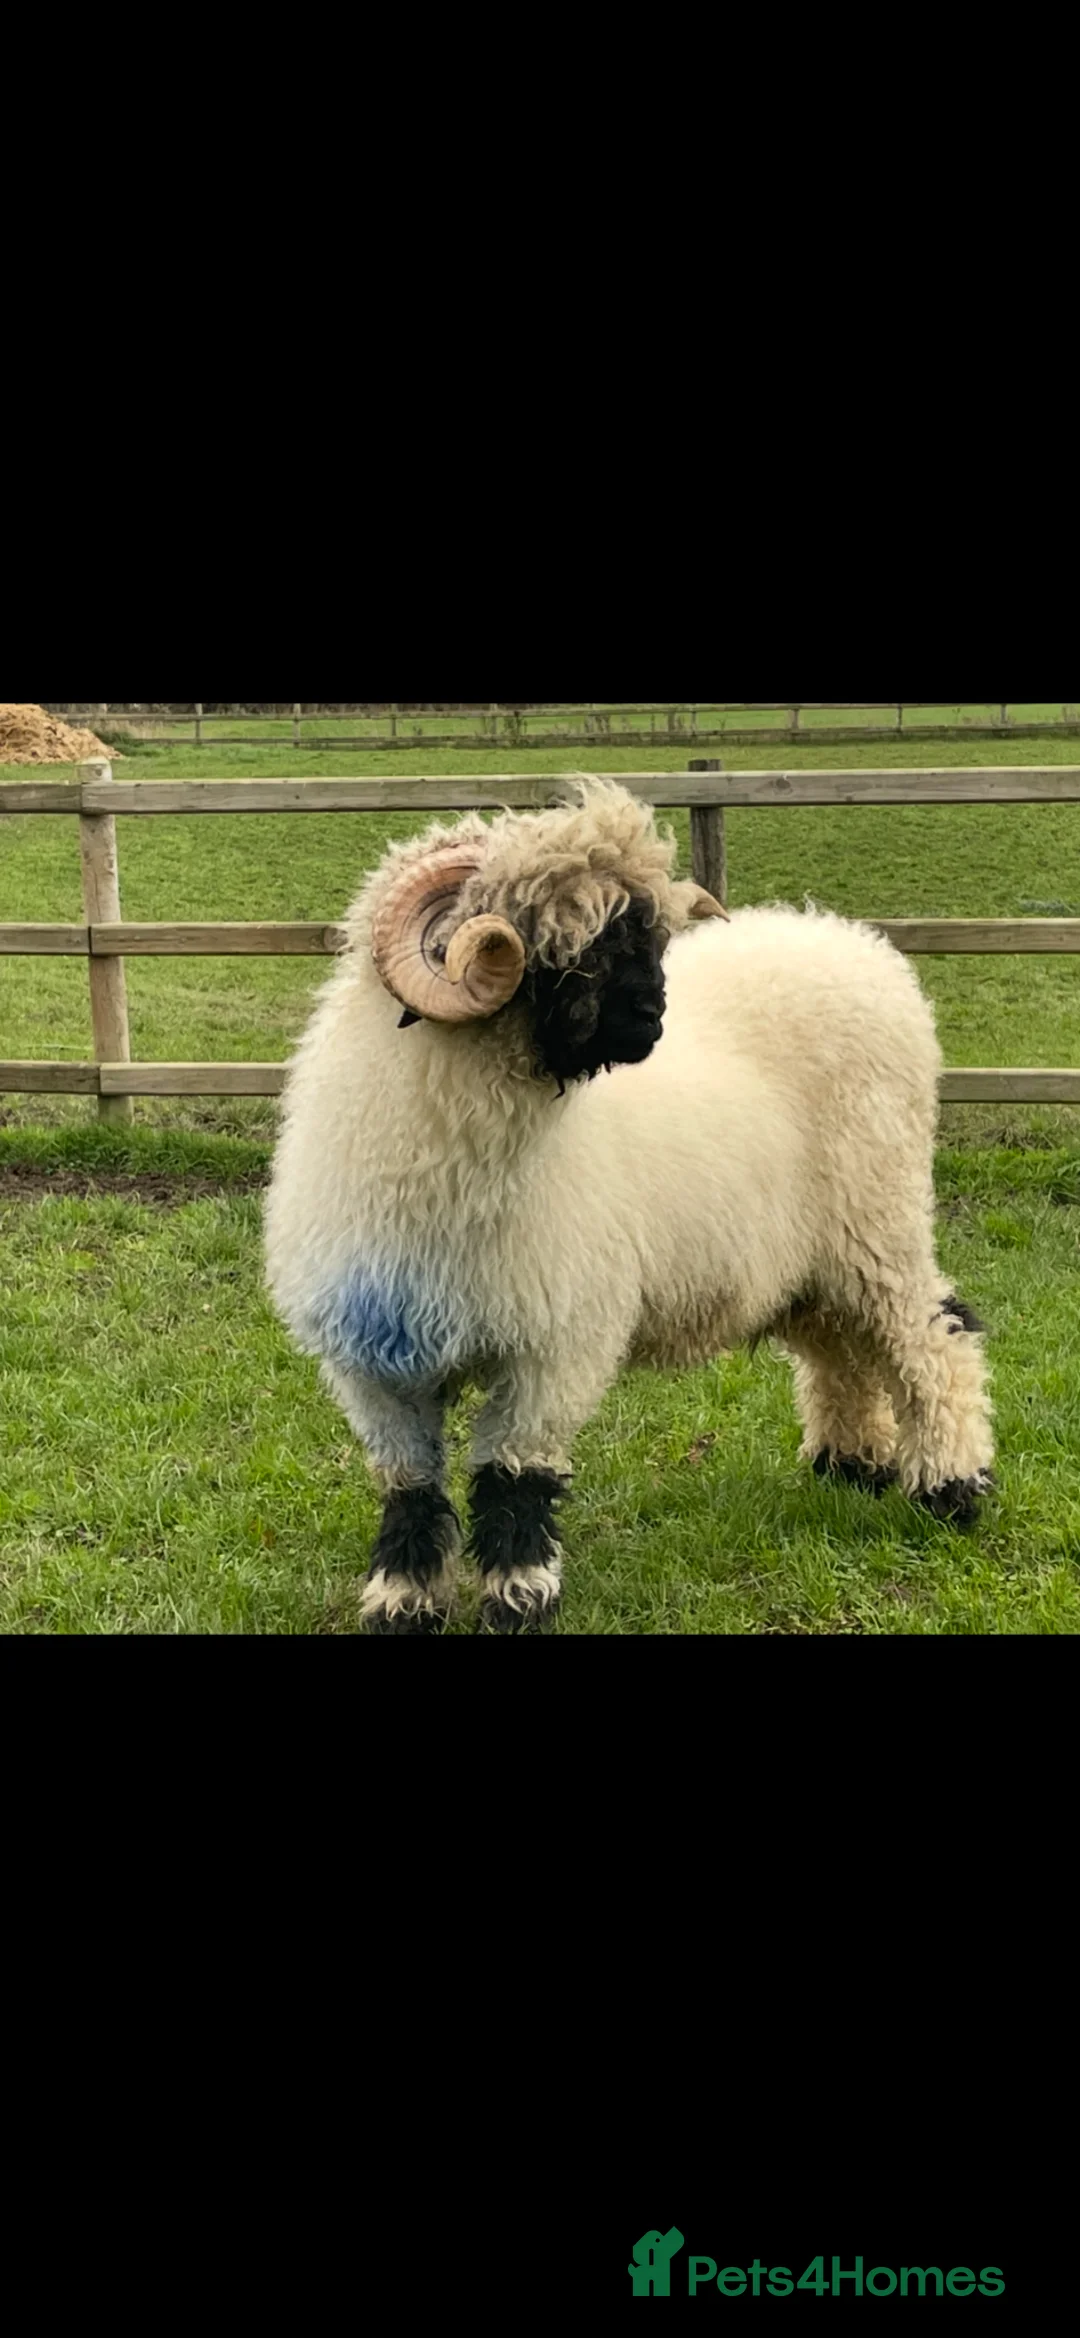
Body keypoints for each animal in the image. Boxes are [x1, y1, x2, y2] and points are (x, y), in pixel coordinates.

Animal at [265, 778, 994, 1633]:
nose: (652, 1022)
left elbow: (514, 1478)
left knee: (934, 1337)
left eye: (644, 936)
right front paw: (402, 1599)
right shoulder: (373, 1358)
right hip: (806, 1258)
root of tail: (846, 940)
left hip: (879, 1219)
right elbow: (409, 1487)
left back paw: (950, 1487)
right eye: (563, 947)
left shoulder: (555, 1341)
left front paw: (519, 1596)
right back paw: (851, 1465)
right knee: (841, 1349)